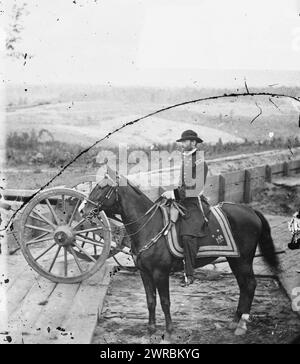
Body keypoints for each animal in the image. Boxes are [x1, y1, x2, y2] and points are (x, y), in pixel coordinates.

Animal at [81, 169, 278, 340]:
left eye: (101, 188)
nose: (83, 211)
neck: (149, 226)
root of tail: (251, 210)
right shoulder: (144, 273)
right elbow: (150, 300)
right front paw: (151, 329)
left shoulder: (160, 273)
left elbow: (165, 301)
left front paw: (168, 331)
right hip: (235, 259)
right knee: (244, 286)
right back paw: (235, 321)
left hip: (243, 260)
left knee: (250, 285)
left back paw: (242, 324)